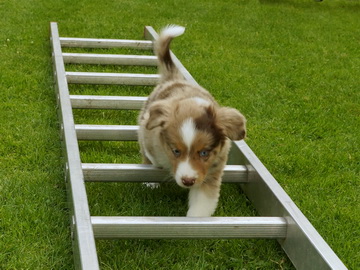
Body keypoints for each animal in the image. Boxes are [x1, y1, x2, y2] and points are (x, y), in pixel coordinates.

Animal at [136, 25, 246, 218]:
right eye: (175, 151)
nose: (188, 181)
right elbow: (152, 157)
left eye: (204, 153)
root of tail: (174, 79)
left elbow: (202, 204)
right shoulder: (149, 137)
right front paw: (152, 179)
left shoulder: (211, 172)